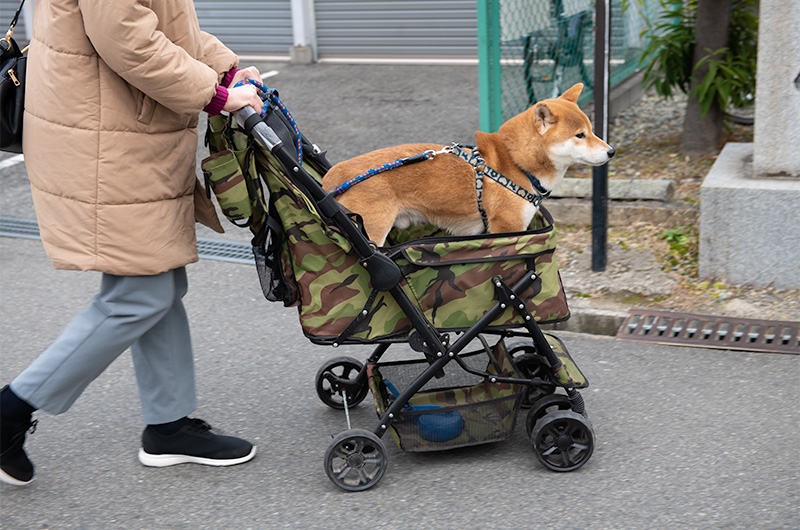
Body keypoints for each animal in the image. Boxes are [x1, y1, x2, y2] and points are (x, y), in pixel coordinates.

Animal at [318, 84, 612, 245]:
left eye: (591, 130)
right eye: (580, 135)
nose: (612, 151)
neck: (516, 163)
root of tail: (332, 179)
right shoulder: (507, 228)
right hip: (372, 233)